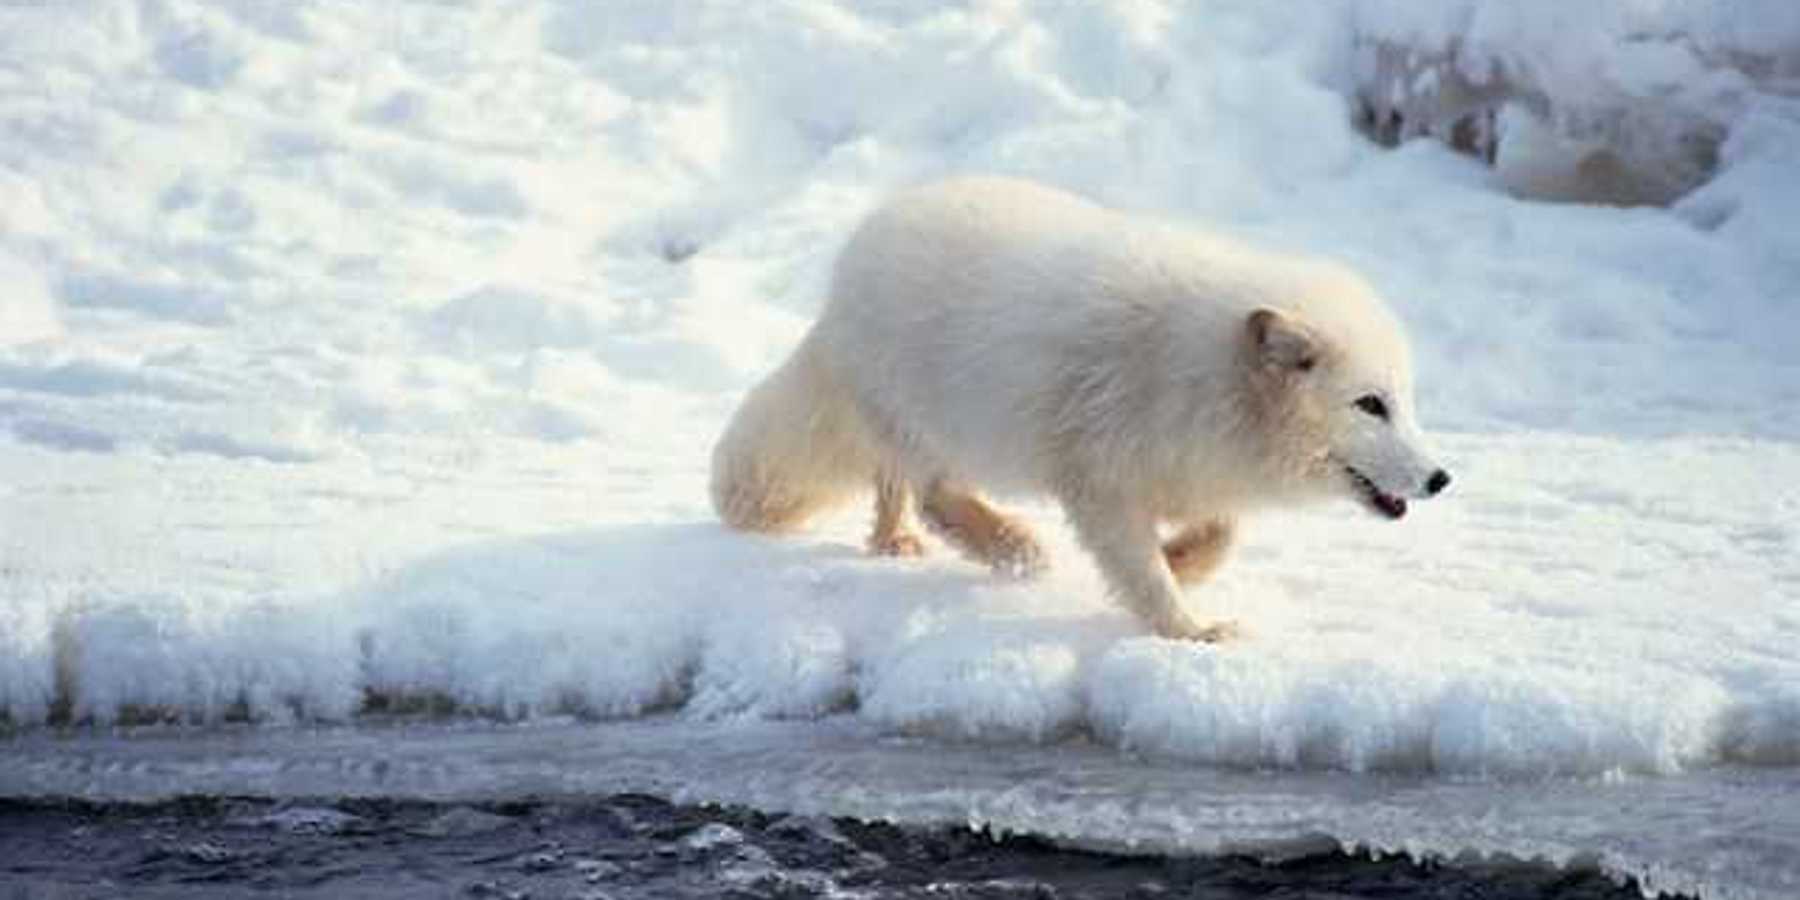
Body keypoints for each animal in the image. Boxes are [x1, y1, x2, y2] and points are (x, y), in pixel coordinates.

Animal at [710, 176, 1449, 640]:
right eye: (1370, 405)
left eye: (1408, 402)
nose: (1441, 478)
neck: (1202, 371)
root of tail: (849, 263)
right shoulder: (1100, 478)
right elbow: (1140, 570)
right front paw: (1189, 628)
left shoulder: (1188, 470)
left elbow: (1221, 534)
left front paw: (1182, 563)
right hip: (931, 419)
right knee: (932, 493)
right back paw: (1013, 547)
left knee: (892, 485)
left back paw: (895, 544)